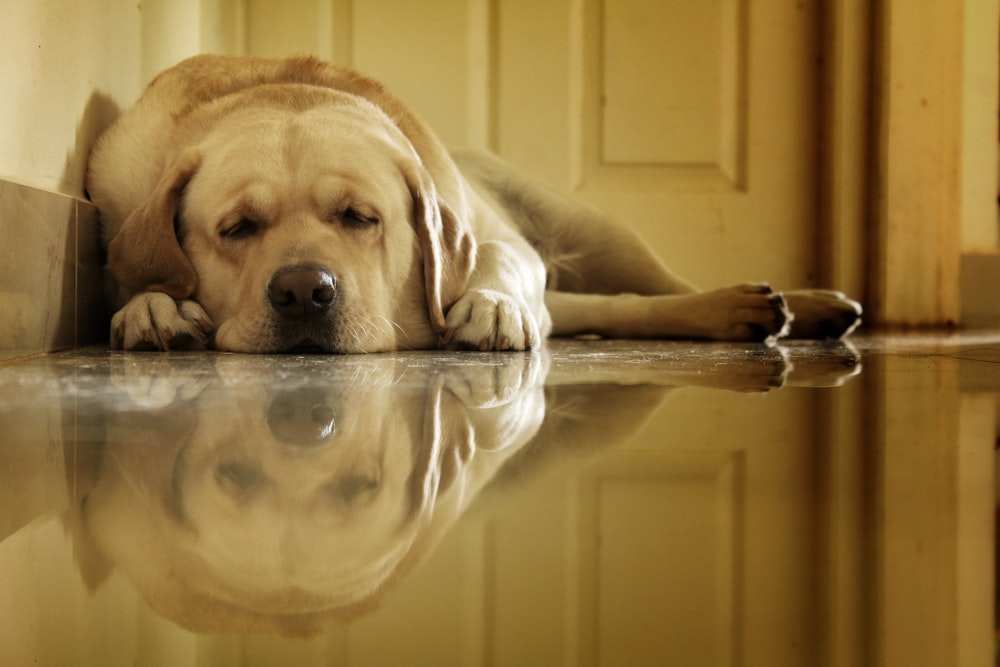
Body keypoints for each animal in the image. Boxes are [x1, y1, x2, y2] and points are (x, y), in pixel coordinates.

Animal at [86, 56, 860, 354]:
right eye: (237, 228)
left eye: (361, 218)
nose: (305, 290)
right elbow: (140, 278)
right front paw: (154, 308)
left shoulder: (502, 241)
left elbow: (496, 260)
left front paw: (489, 306)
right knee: (615, 309)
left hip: (599, 228)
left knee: (658, 287)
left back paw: (783, 304)